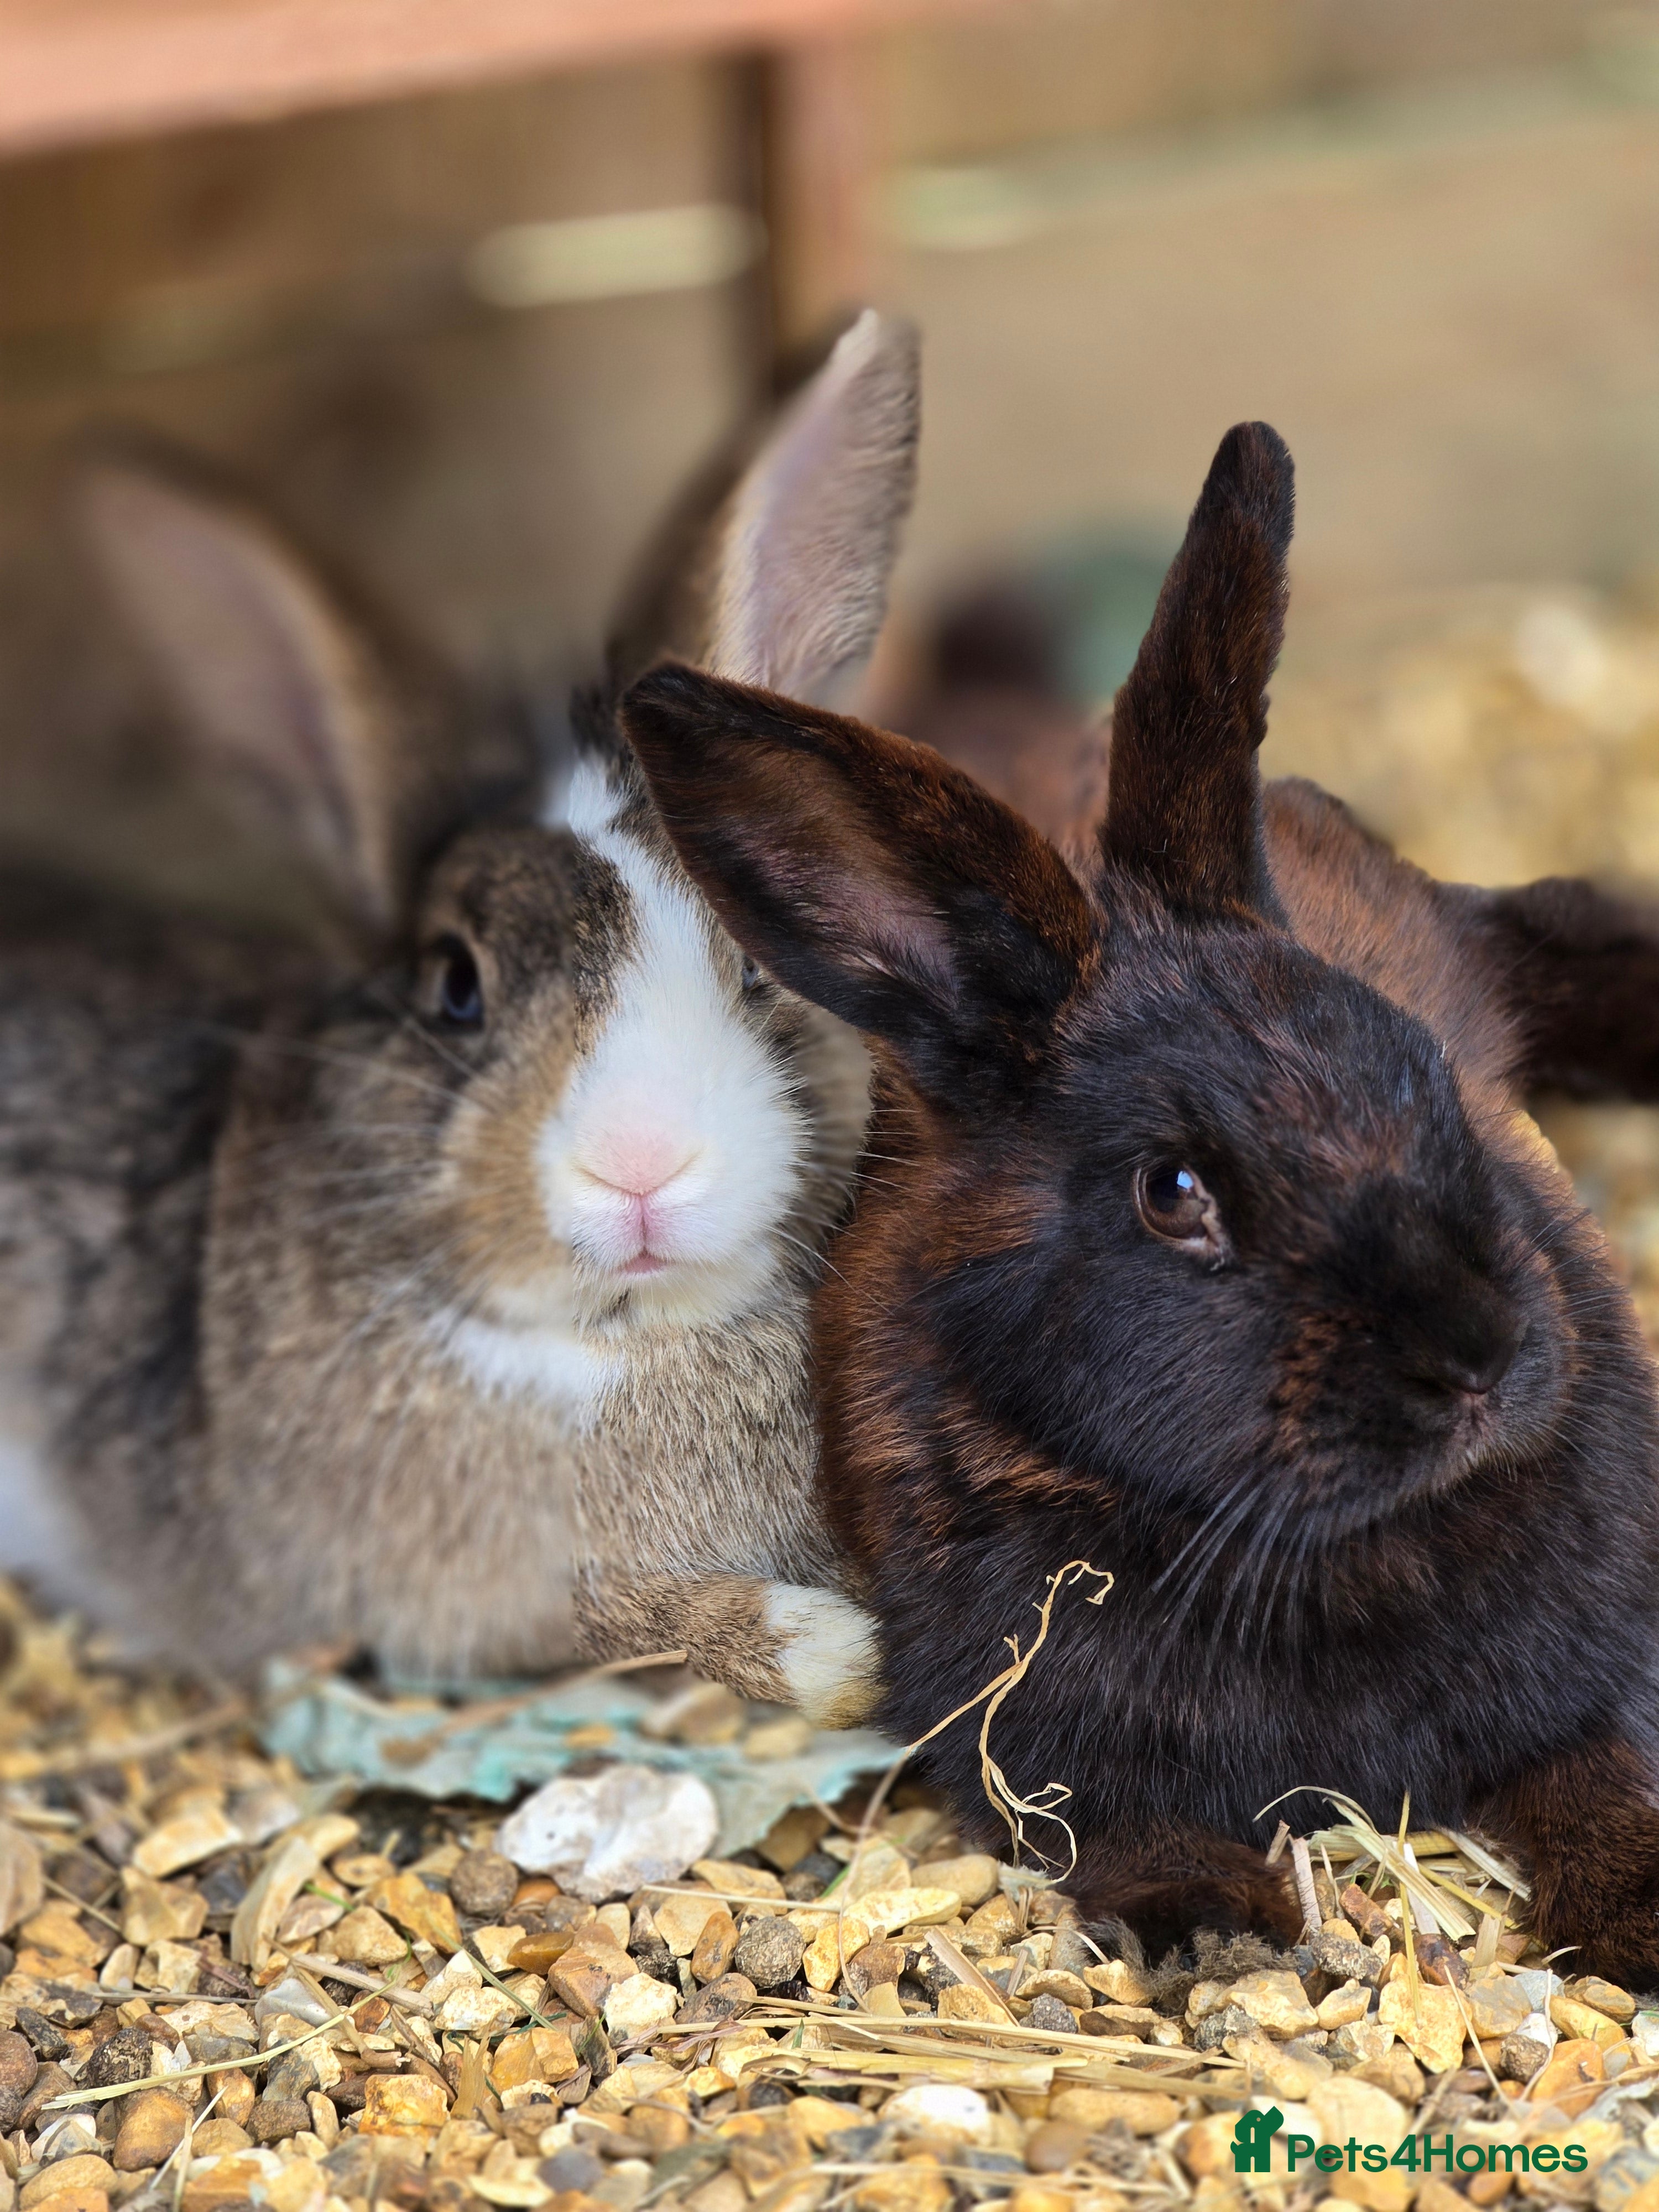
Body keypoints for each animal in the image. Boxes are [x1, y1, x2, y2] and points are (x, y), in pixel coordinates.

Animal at [0, 310, 922, 1725]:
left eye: (757, 959)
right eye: (453, 983)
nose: (642, 1165)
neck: (613, 1347)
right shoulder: (435, 1614)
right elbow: (613, 1613)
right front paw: (823, 1647)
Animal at [619, 419, 1659, 1979]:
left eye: (1426, 1070)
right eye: (1173, 1191)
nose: (1476, 1361)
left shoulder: (1594, 1680)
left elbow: (1598, 1773)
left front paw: (1640, 1913)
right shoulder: (1034, 1736)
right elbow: (1118, 1823)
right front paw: (1213, 1920)